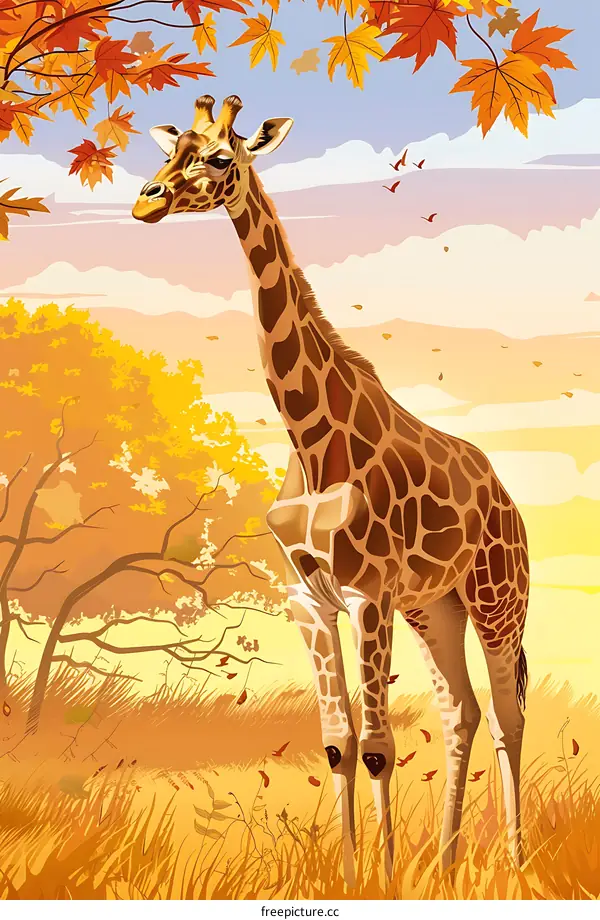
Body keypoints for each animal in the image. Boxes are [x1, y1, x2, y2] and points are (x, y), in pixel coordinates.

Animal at [133, 94, 529, 887]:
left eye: (220, 157)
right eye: (169, 149)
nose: (147, 200)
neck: (311, 439)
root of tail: (512, 506)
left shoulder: (366, 593)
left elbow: (378, 744)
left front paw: (384, 879)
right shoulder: (308, 599)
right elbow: (340, 743)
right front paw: (351, 875)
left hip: (497, 599)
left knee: (509, 716)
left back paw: (514, 863)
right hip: (434, 606)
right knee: (461, 713)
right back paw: (448, 865)